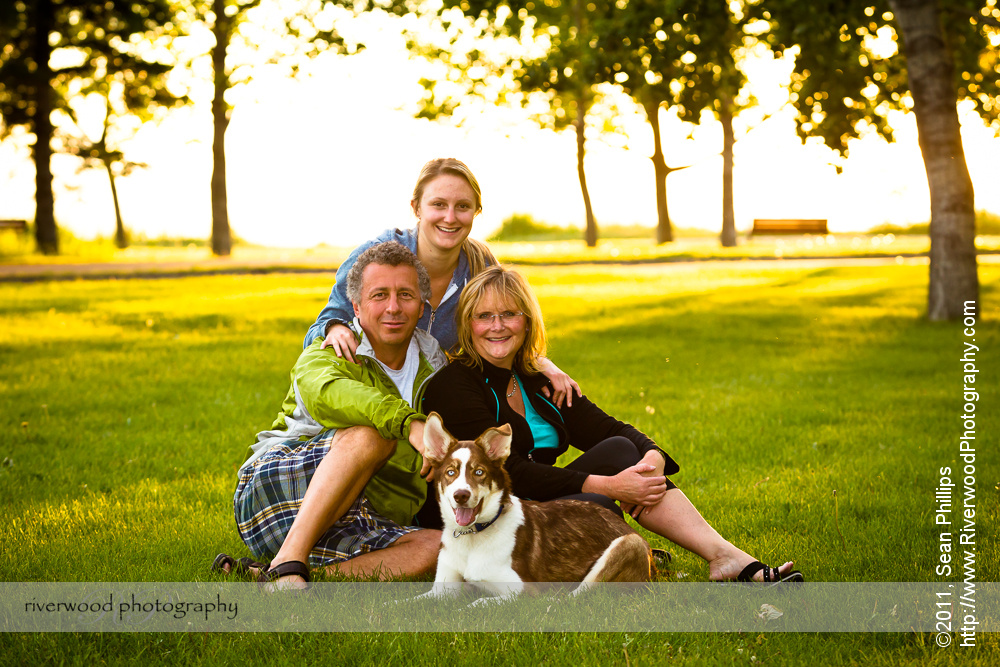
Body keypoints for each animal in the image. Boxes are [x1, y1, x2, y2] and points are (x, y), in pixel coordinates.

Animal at [418, 412, 652, 600]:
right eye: (450, 472)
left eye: (479, 472)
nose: (461, 496)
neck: (472, 537)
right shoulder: (442, 589)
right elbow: (411, 603)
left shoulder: (522, 591)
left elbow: (477, 603)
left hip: (628, 544)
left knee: (572, 598)